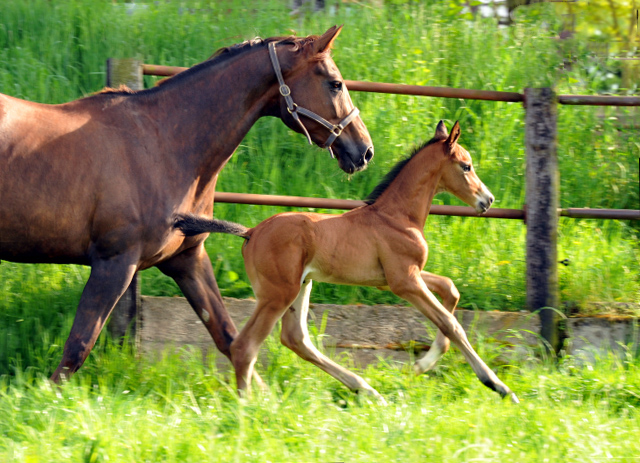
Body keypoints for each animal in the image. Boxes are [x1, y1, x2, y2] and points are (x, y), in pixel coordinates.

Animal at [175, 121, 520, 404]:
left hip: (301, 286)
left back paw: (366, 390)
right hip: (278, 294)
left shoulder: (399, 277)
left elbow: (451, 290)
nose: (487, 200)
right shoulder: (404, 281)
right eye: (466, 166)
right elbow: (451, 323)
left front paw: (420, 365)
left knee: (295, 338)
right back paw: (248, 409)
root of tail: (251, 232)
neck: (396, 216)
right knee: (245, 346)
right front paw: (498, 386)